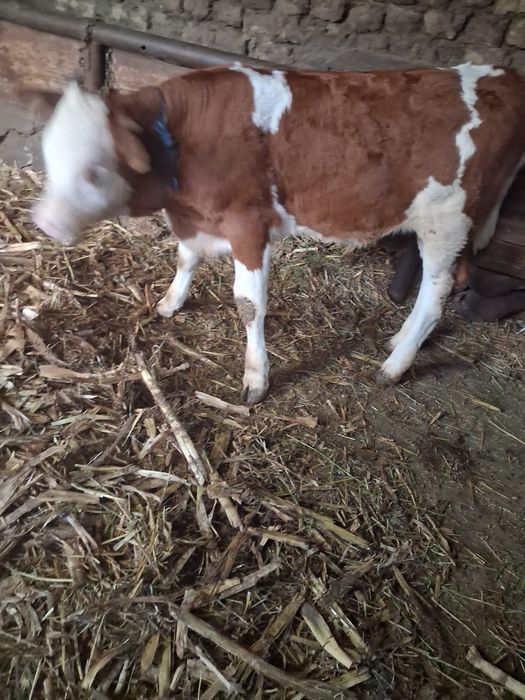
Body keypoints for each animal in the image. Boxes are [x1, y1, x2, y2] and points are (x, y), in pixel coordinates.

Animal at [20, 63, 525, 404]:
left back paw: (395, 365)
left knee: (436, 292)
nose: (44, 221)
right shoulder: (196, 218)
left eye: (94, 169)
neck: (182, 139)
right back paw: (399, 341)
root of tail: (500, 73)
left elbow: (248, 304)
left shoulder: (248, 224)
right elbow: (186, 257)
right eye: (49, 154)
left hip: (448, 220)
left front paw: (256, 377)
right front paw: (168, 303)